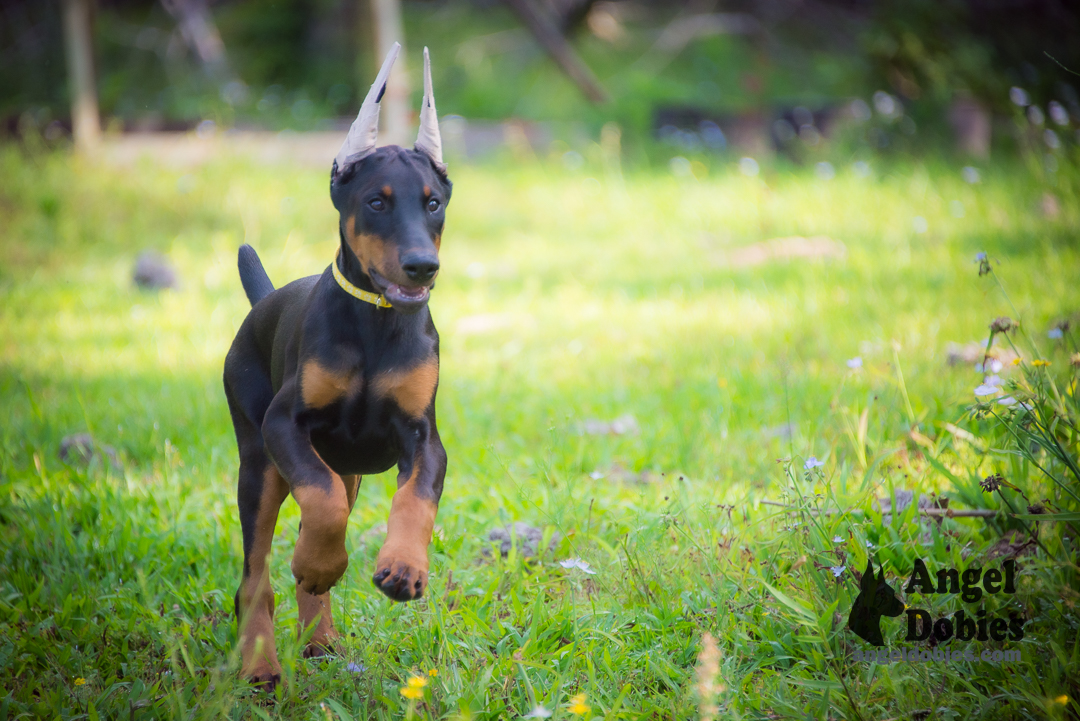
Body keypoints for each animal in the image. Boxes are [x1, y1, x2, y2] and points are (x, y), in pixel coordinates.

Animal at [223, 45, 451, 686]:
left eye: (433, 202)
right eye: (376, 201)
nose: (423, 267)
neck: (376, 322)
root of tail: (264, 301)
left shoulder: (423, 435)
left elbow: (415, 498)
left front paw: (403, 569)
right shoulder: (285, 425)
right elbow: (320, 502)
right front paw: (320, 564)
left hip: (346, 467)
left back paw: (320, 637)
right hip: (258, 462)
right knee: (256, 575)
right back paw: (262, 665)